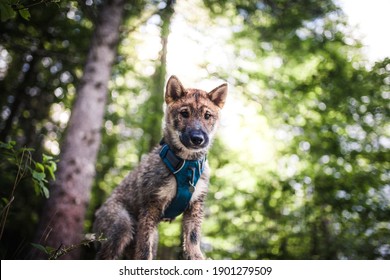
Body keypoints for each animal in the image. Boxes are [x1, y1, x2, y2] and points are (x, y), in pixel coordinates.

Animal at [93, 75, 227, 260]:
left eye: (207, 115)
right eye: (184, 113)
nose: (197, 139)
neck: (187, 165)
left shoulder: (195, 208)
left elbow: (192, 242)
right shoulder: (150, 208)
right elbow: (144, 253)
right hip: (121, 227)